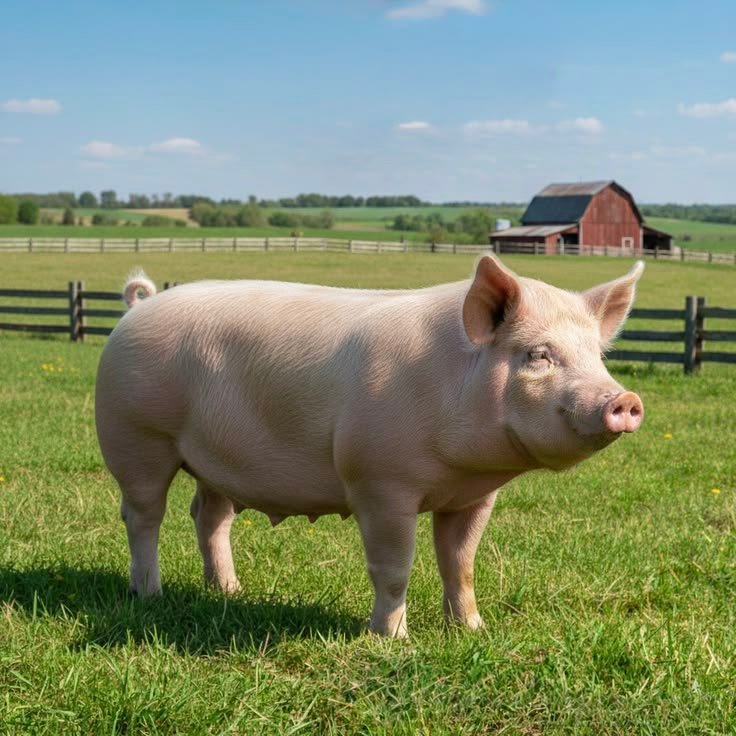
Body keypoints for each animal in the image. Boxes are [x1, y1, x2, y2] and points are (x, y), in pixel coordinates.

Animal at [95, 256, 644, 638]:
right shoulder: (379, 481)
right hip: (135, 436)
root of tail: (138, 307)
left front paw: (473, 630)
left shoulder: (473, 496)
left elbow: (461, 564)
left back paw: (229, 591)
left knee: (209, 516)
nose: (625, 400)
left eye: (596, 356)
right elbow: (394, 567)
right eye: (538, 355)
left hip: (216, 460)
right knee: (142, 515)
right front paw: (393, 639)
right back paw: (149, 595)